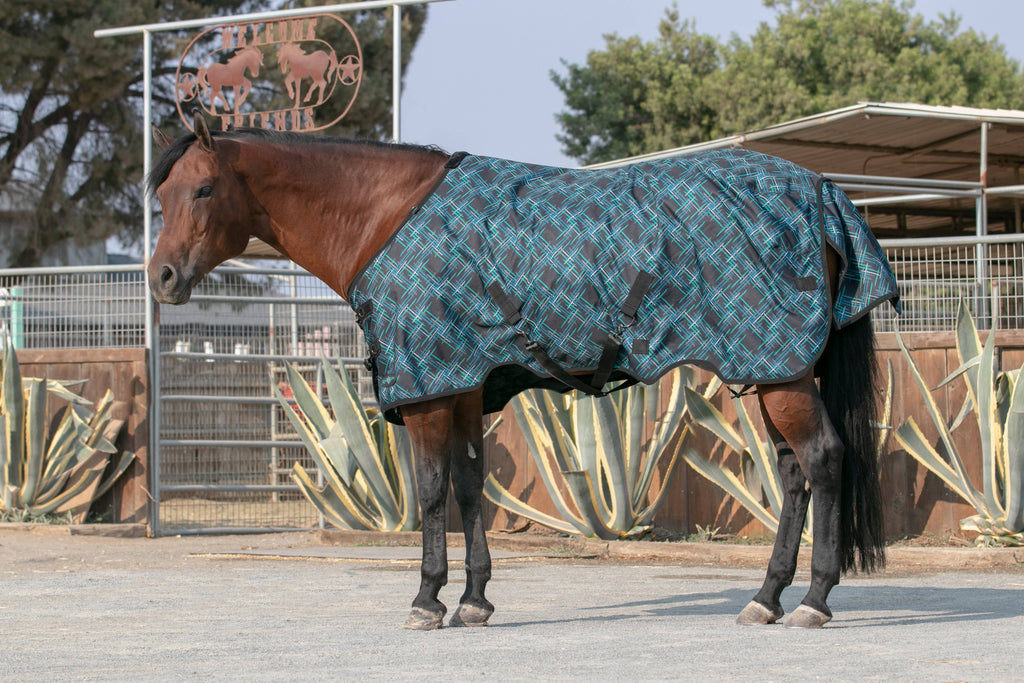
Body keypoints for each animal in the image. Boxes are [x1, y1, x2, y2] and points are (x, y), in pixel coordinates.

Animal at [148, 113, 899, 631]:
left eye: (205, 189)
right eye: (164, 195)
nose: (162, 278)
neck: (387, 217)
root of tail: (821, 191)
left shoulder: (428, 391)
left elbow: (431, 492)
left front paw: (427, 599)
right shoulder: (462, 389)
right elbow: (470, 487)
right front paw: (475, 599)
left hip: (781, 373)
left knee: (824, 459)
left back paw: (814, 600)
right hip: (773, 371)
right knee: (795, 472)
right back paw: (766, 598)